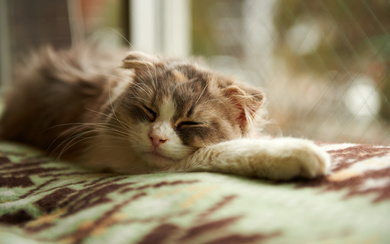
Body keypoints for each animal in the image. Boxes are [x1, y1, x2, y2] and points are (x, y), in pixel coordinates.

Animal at [0, 43, 332, 180]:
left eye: (189, 123)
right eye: (148, 111)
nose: (156, 138)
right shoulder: (114, 156)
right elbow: (221, 151)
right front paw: (300, 154)